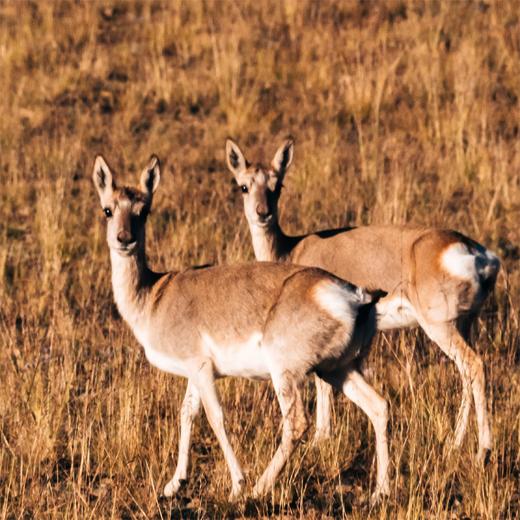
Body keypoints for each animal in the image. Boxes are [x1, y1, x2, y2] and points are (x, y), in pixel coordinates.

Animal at [92, 155, 390, 504]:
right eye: (107, 209)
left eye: (144, 210)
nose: (124, 239)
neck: (155, 292)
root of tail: (355, 295)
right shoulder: (196, 373)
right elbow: (186, 413)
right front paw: (173, 483)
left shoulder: (201, 369)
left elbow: (215, 418)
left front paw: (237, 484)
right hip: (338, 370)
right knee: (379, 407)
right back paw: (380, 492)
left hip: (288, 374)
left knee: (297, 423)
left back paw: (259, 487)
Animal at [223, 136, 500, 462]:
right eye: (244, 185)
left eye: (277, 185)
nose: (262, 213)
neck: (293, 248)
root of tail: (475, 251)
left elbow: (322, 386)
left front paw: (320, 439)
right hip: (462, 327)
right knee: (466, 374)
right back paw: (455, 444)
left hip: (440, 328)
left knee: (474, 366)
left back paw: (483, 451)